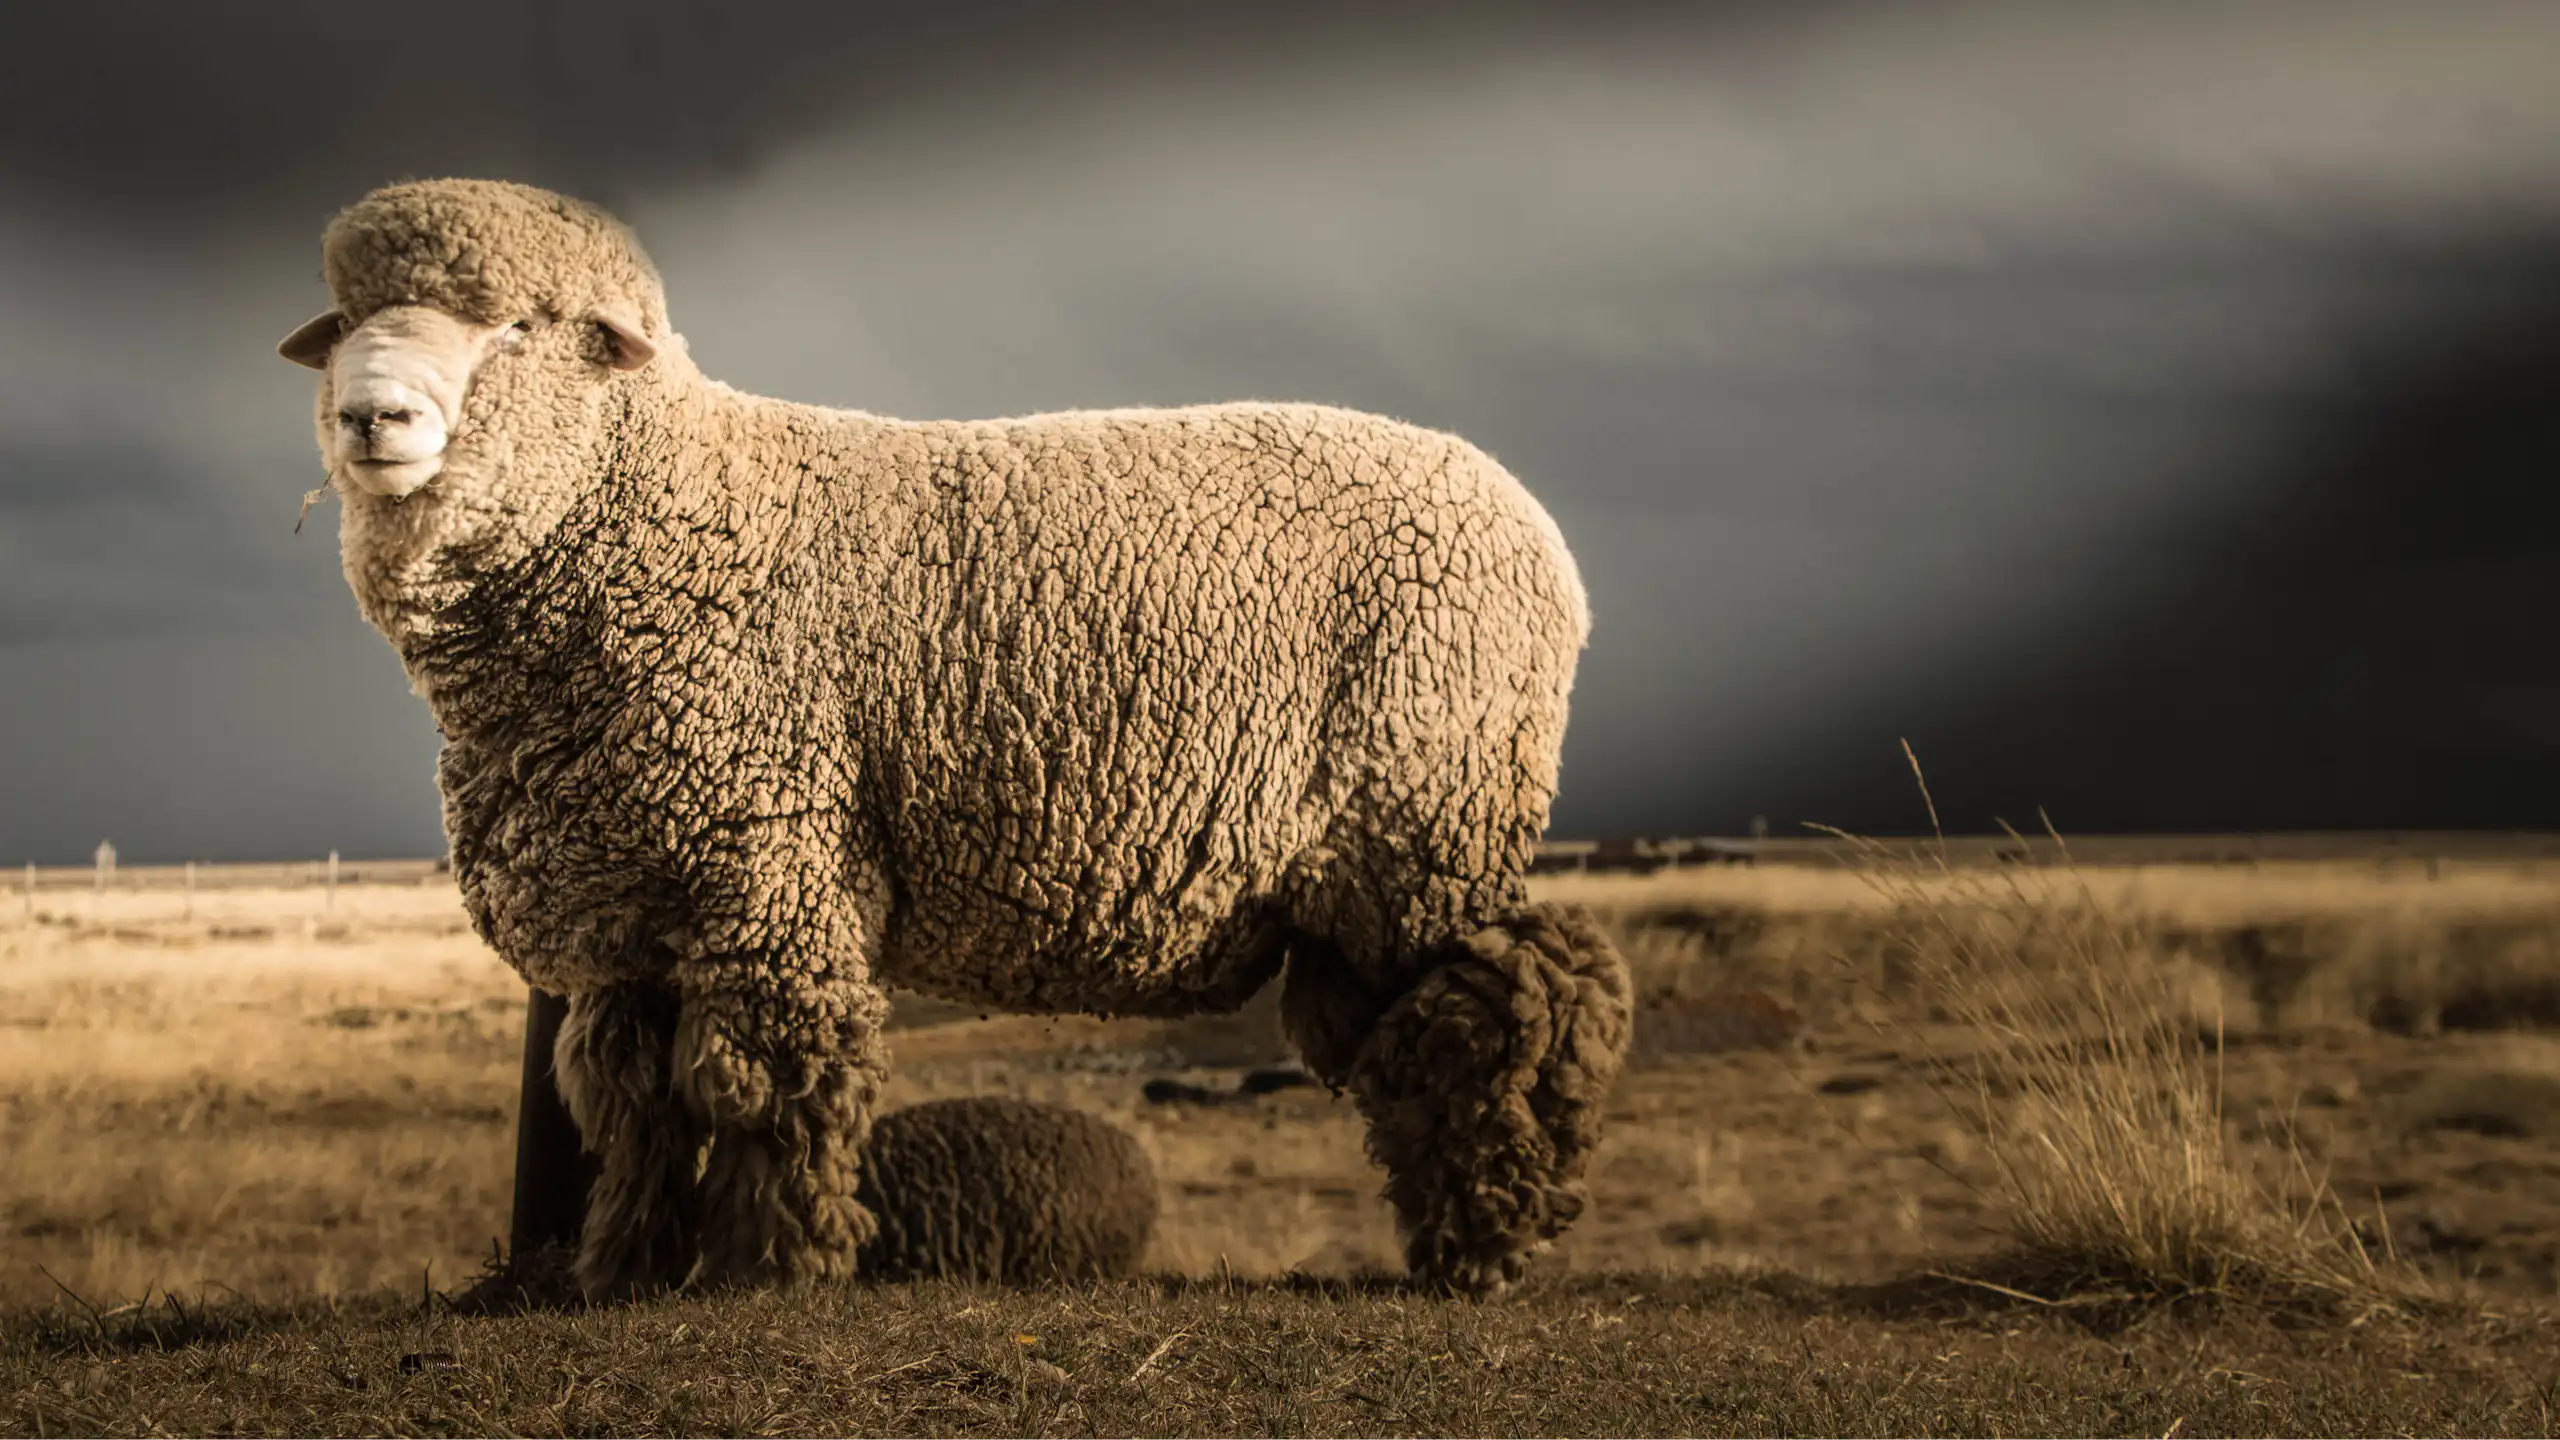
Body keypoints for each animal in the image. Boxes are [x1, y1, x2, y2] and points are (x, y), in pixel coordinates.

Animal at [277, 177, 1633, 1300]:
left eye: (517, 327)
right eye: (346, 324)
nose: (371, 418)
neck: (671, 509)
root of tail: (1537, 529)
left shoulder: (768, 869)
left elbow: (764, 1084)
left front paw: (768, 1271)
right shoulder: (633, 911)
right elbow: (635, 1106)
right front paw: (622, 1269)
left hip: (1425, 821)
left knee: (1518, 995)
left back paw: (1484, 1245)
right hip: (1369, 874)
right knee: (1421, 1026)